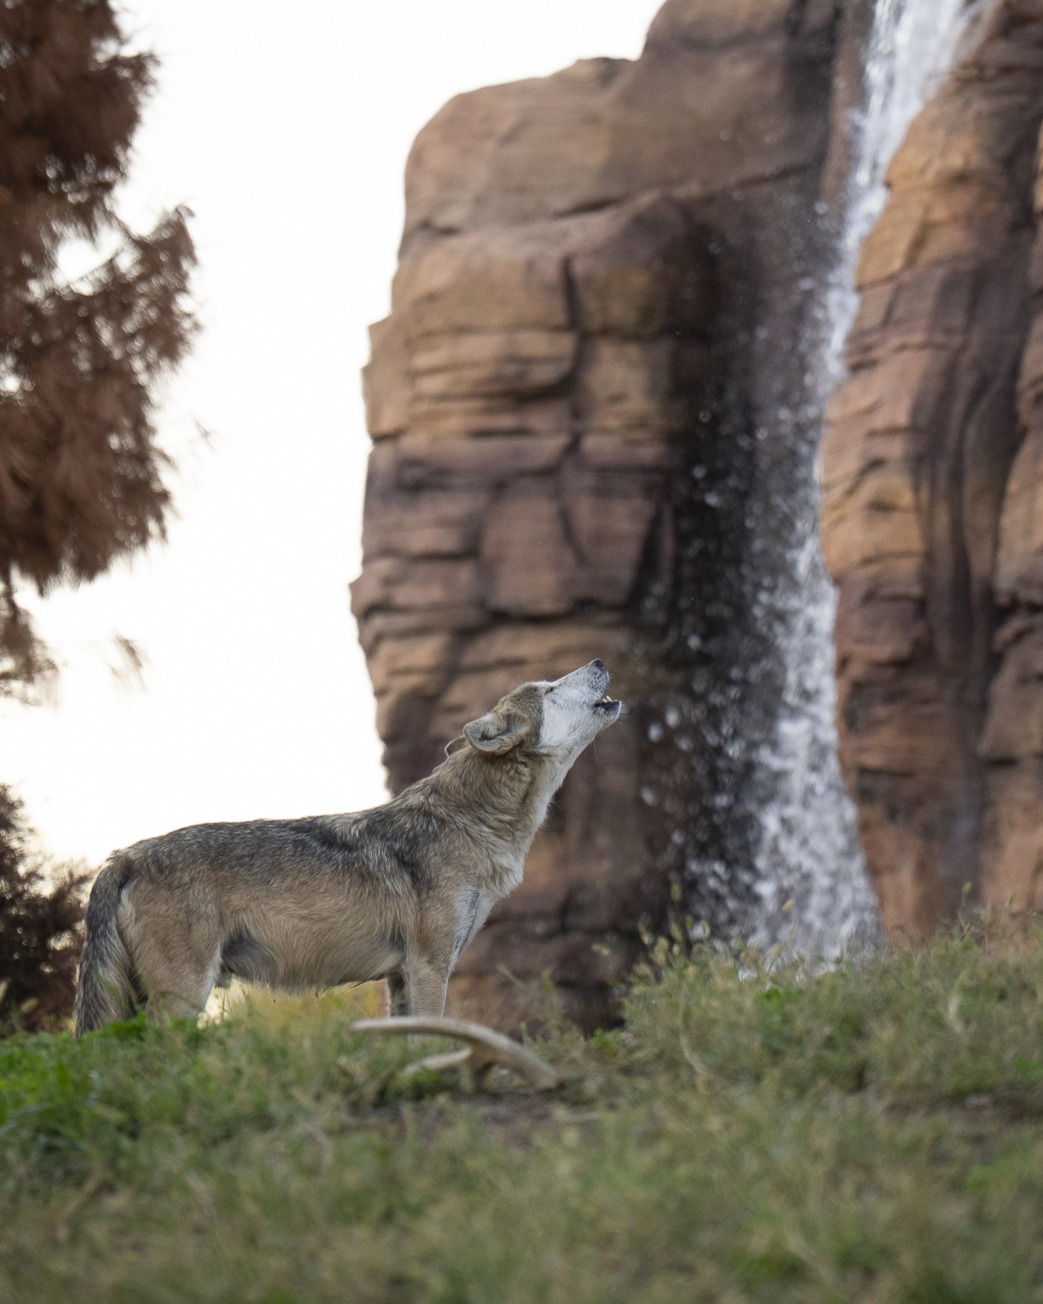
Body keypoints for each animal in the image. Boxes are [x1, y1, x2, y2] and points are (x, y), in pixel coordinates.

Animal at [74, 660, 621, 1033]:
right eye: (550, 689)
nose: (599, 661)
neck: (467, 823)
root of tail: (122, 857)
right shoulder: (429, 966)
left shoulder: (400, 977)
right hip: (183, 998)